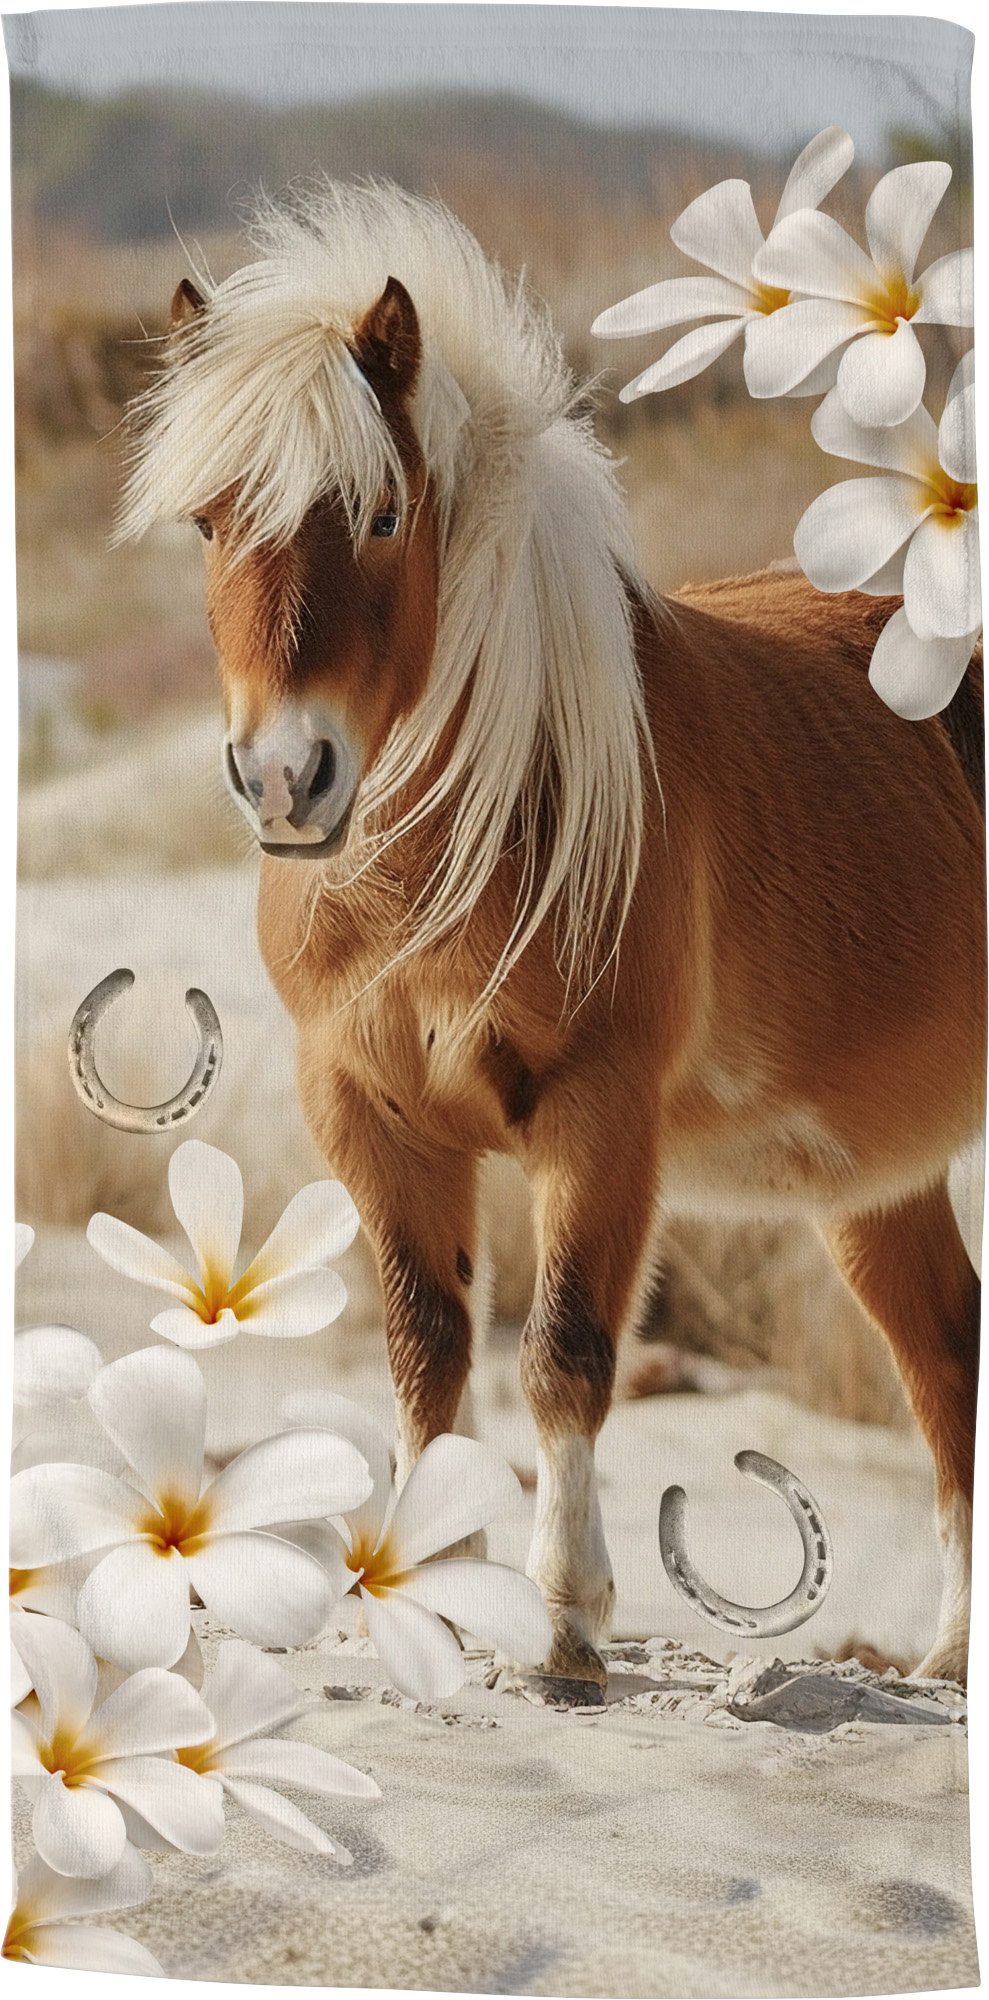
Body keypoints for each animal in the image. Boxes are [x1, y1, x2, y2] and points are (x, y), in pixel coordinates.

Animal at [121, 182, 984, 1694]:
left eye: (384, 512)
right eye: (212, 524)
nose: (286, 779)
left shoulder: (600, 1113)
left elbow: (565, 1352)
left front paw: (567, 1617)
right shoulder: (368, 1114)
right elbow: (425, 1351)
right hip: (880, 1179)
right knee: (946, 1360)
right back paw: (943, 1656)